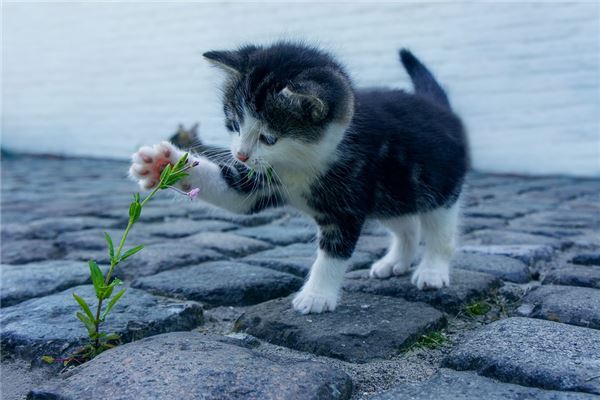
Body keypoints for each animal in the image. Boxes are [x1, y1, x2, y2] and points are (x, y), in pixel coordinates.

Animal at [130, 41, 468, 316]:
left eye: (269, 137)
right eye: (234, 124)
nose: (240, 155)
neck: (301, 163)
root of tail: (440, 107)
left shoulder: (348, 198)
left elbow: (334, 251)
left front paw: (316, 295)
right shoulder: (261, 180)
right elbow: (234, 193)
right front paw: (162, 164)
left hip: (438, 186)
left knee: (439, 232)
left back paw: (432, 270)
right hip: (391, 195)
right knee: (406, 225)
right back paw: (395, 261)